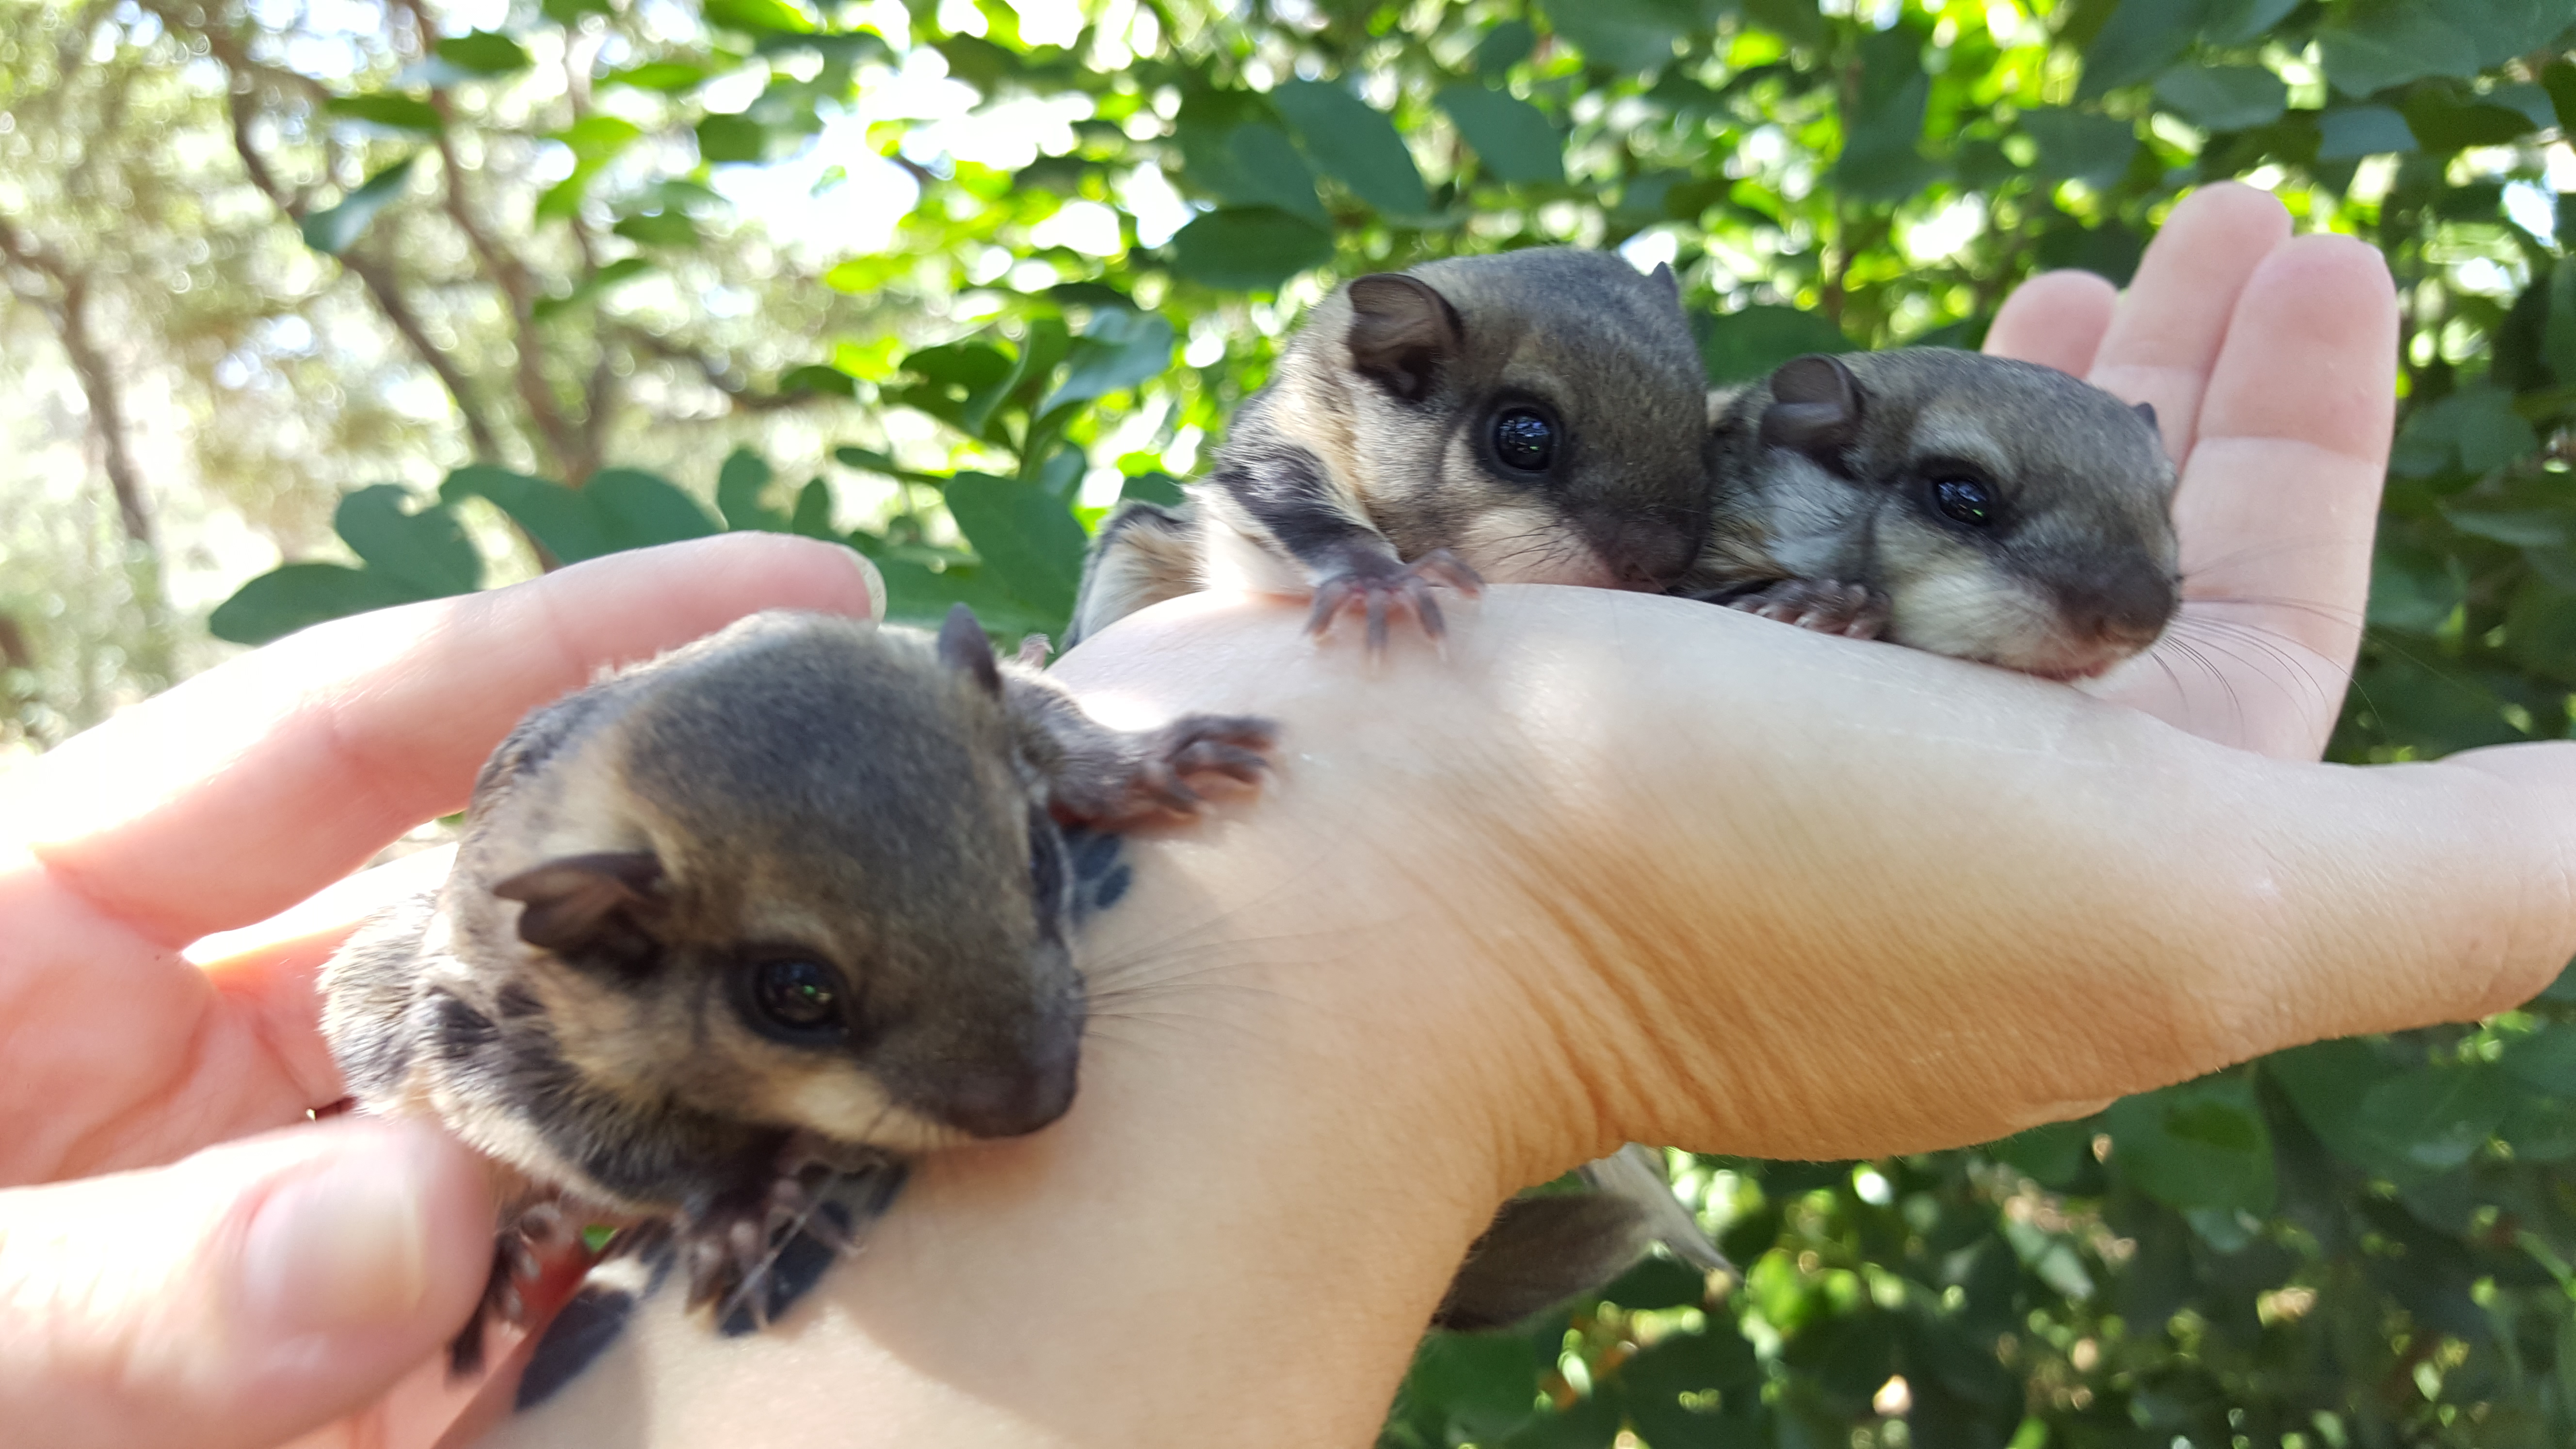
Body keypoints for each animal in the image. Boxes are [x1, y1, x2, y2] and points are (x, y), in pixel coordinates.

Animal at [319, 605, 1274, 1372]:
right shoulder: (491, 1039)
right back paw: (514, 1246)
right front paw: (740, 1197)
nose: (1038, 1104)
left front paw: (1140, 762)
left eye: (1041, 861)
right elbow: (596, 1141)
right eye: (797, 993)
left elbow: (1047, 716)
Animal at [1064, 247, 1715, 651]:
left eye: (1701, 430)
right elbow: (1293, 505)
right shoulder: (1282, 437)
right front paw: (1379, 579)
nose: (1660, 567)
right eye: (1525, 439)